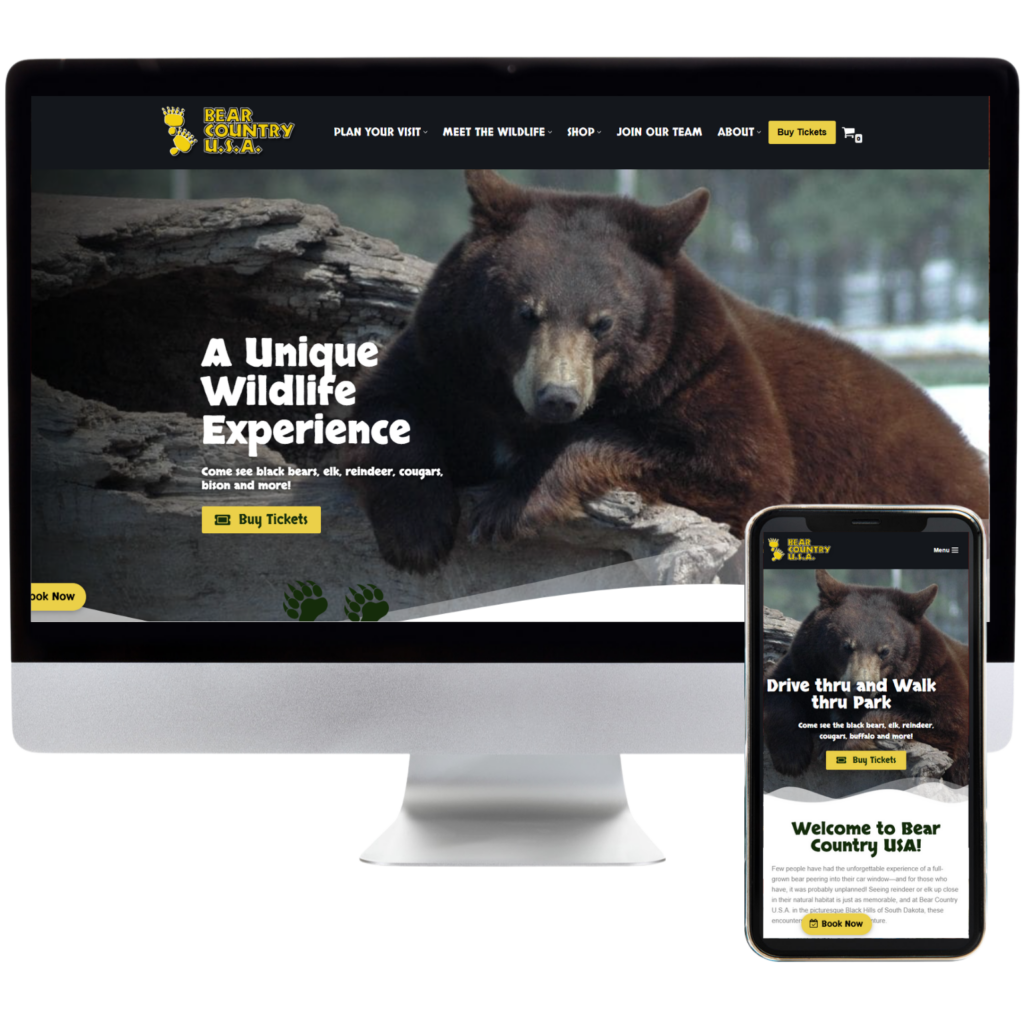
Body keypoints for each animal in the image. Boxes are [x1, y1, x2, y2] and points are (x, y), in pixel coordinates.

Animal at [346, 169, 989, 575]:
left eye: (603, 322)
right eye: (525, 311)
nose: (558, 396)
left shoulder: (700, 366)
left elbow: (736, 465)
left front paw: (509, 505)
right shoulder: (444, 355)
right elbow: (384, 404)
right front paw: (417, 532)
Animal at [763, 569, 970, 785]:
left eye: (885, 651)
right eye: (846, 645)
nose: (861, 688)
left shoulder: (933, 672)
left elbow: (944, 723)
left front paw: (835, 740)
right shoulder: (806, 663)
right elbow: (777, 686)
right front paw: (791, 756)